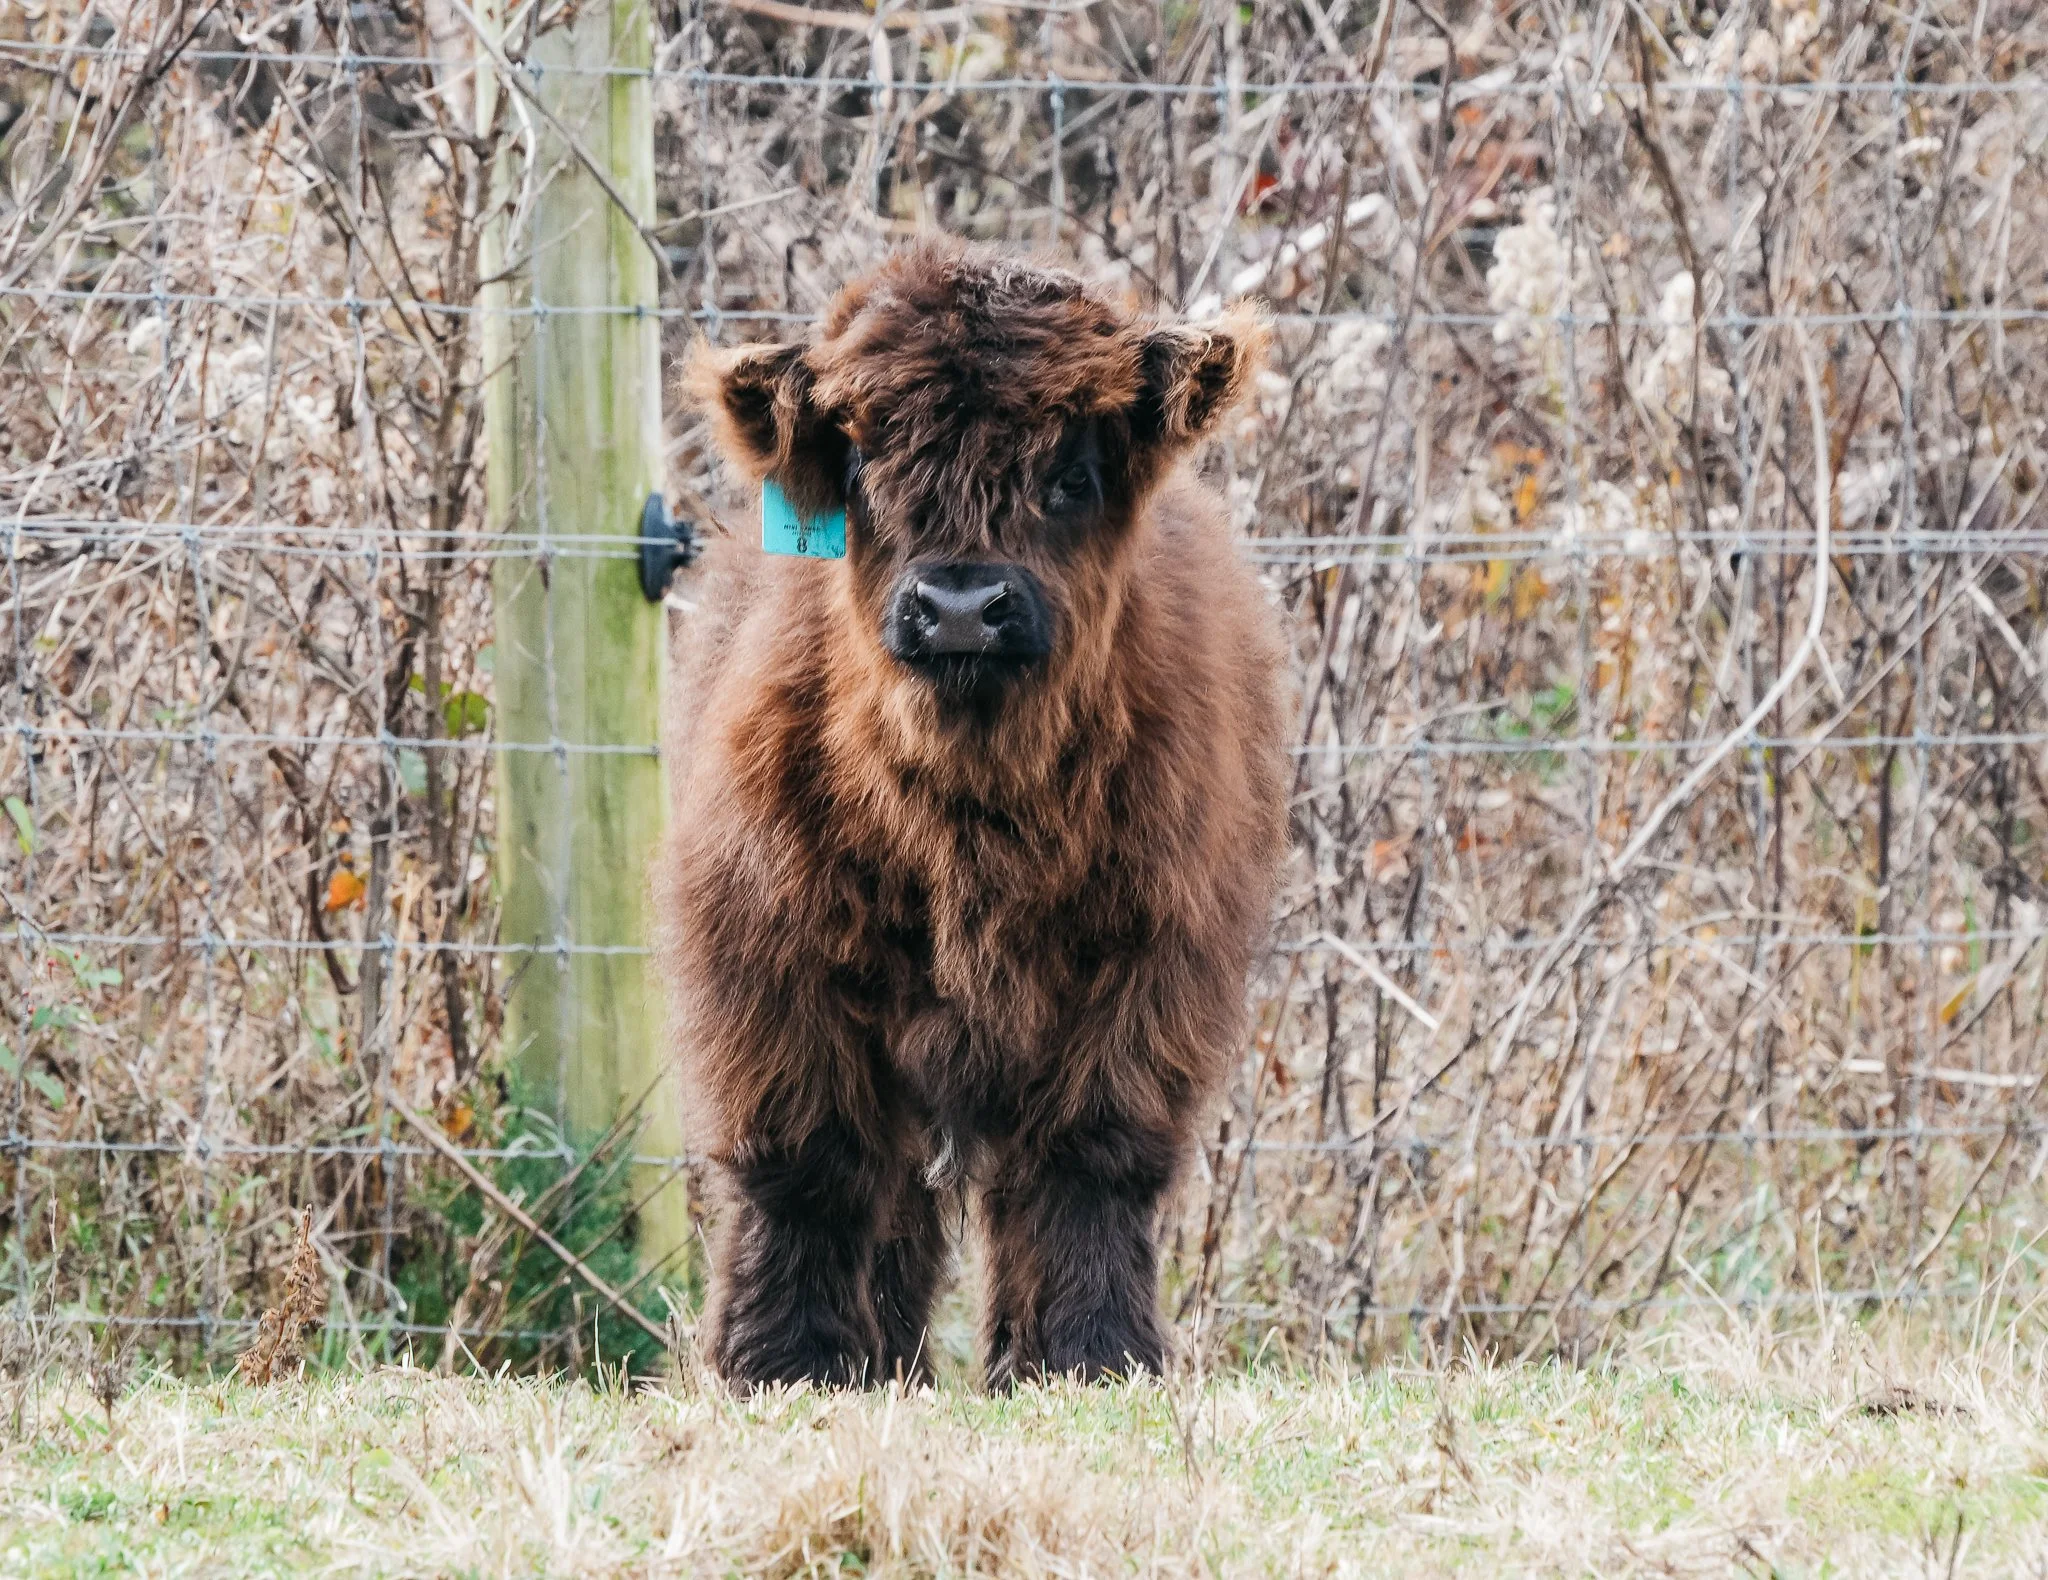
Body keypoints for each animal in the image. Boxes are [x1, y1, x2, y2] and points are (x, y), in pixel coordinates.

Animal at [658, 239, 1288, 1390]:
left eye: (1071, 474)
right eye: (863, 468)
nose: (958, 607)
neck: (969, 819)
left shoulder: (1147, 962)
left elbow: (1089, 1158)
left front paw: (1091, 1353)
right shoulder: (769, 952)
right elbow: (806, 1163)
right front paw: (782, 1358)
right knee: (893, 1193)